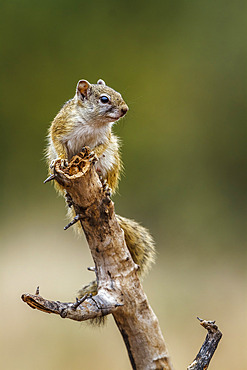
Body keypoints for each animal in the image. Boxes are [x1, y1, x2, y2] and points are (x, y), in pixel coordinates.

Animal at [45, 78, 155, 298]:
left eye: (118, 93)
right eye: (104, 99)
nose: (125, 109)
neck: (93, 123)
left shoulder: (106, 138)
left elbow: (100, 146)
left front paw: (93, 154)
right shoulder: (60, 127)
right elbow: (58, 143)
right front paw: (61, 160)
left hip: (112, 160)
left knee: (107, 177)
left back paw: (104, 185)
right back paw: (68, 196)